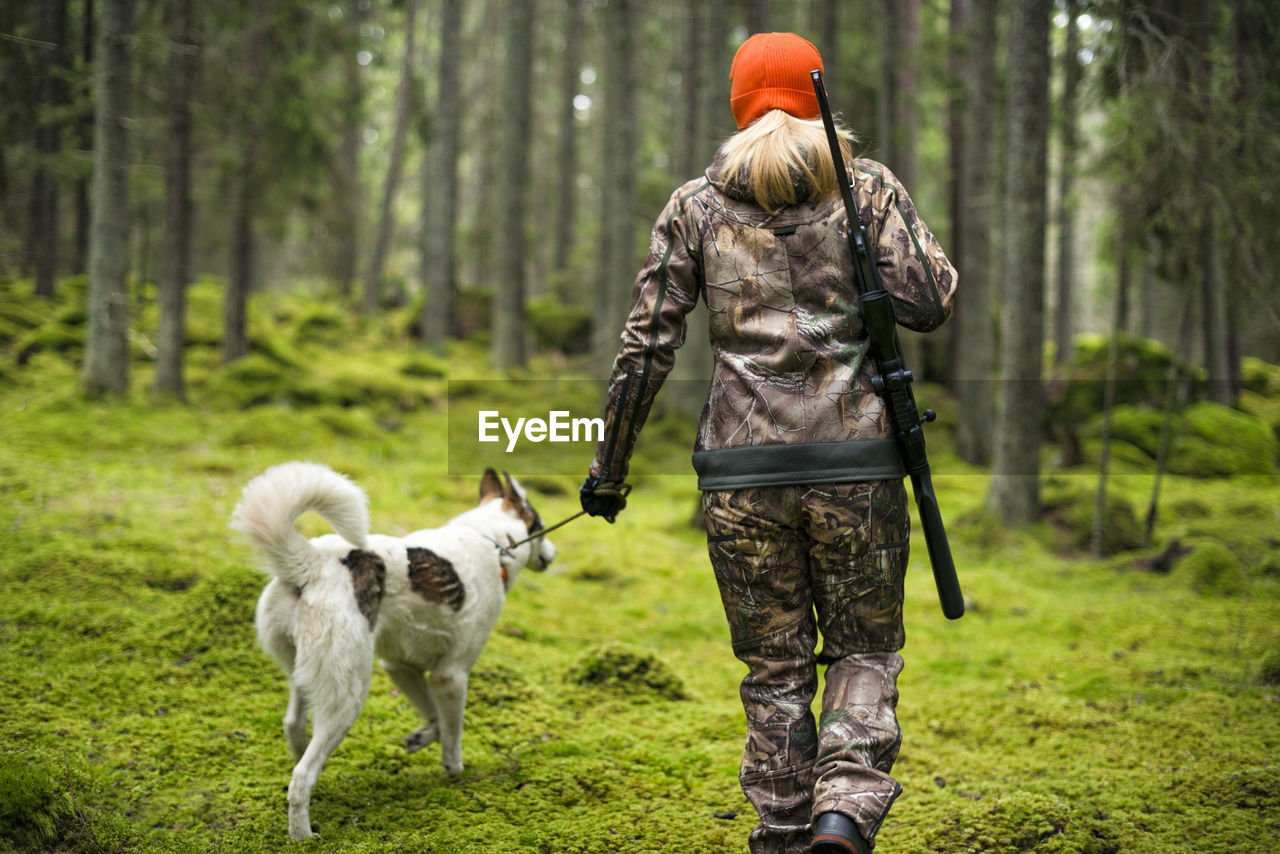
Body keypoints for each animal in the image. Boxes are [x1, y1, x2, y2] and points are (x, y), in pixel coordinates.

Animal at [232, 460, 552, 839]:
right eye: (541, 527)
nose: (552, 553)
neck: (492, 540)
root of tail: (311, 563)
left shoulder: (400, 666)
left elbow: (434, 720)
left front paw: (419, 738)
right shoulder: (451, 676)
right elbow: (452, 733)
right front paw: (455, 772)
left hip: (302, 671)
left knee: (294, 728)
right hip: (348, 695)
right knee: (302, 775)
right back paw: (303, 836)